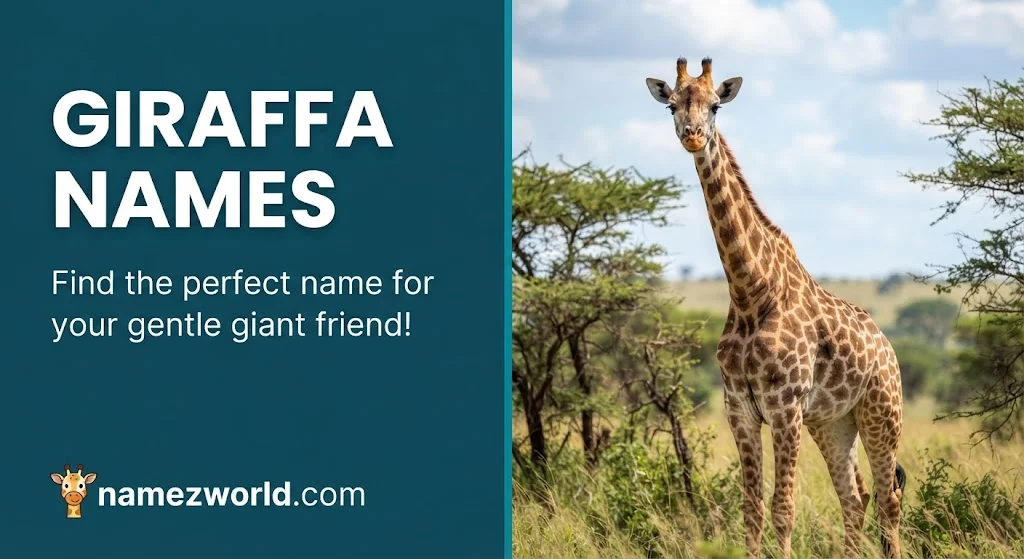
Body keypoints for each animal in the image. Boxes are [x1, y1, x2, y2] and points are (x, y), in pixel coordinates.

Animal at [644, 57, 906, 558]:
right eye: (671, 105)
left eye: (715, 106)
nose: (692, 135)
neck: (750, 294)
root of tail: (888, 348)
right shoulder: (740, 409)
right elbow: (752, 510)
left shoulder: (785, 406)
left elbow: (783, 510)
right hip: (833, 421)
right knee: (856, 497)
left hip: (881, 413)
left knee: (888, 499)